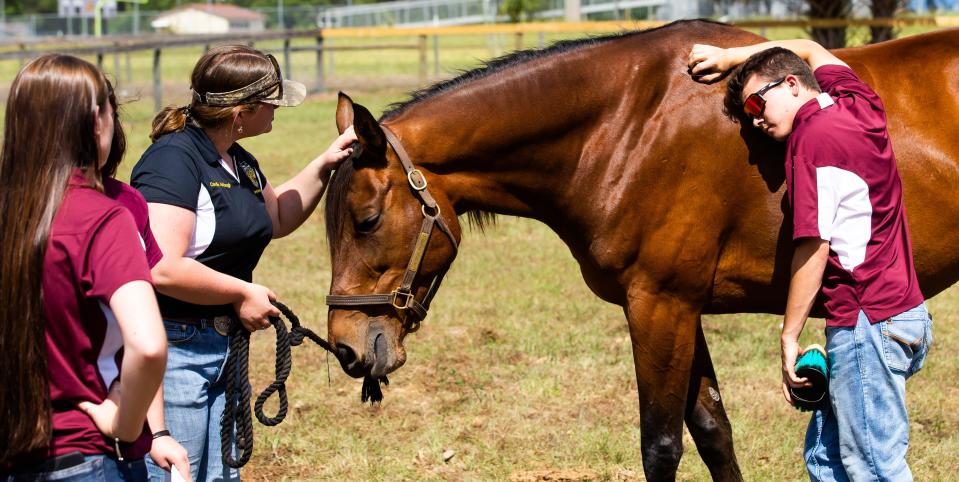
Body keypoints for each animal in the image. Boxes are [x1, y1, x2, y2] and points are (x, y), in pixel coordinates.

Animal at [322, 17, 959, 478]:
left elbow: (661, 445)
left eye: (367, 220)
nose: (347, 349)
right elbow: (713, 432)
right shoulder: (680, 309)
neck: (626, 125)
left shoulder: (660, 306)